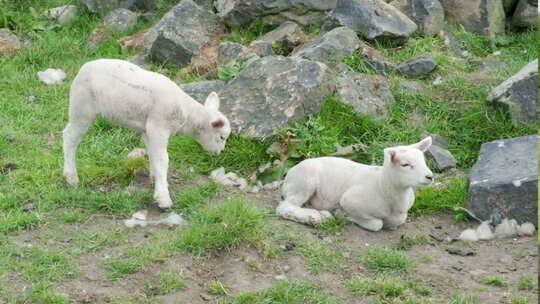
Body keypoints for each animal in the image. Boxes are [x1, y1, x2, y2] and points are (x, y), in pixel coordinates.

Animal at [63, 58, 232, 209]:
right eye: (221, 137)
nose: (220, 152)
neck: (187, 115)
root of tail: (84, 67)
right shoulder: (158, 127)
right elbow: (163, 160)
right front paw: (163, 197)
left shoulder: (148, 130)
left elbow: (152, 154)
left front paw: (155, 178)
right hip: (82, 107)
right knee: (70, 137)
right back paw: (71, 177)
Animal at [278, 137, 434, 232]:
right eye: (405, 164)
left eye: (423, 161)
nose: (430, 177)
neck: (382, 185)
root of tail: (289, 174)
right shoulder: (349, 200)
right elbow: (377, 224)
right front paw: (343, 215)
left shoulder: (400, 215)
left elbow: (398, 221)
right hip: (304, 182)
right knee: (284, 207)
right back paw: (313, 217)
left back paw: (322, 214)